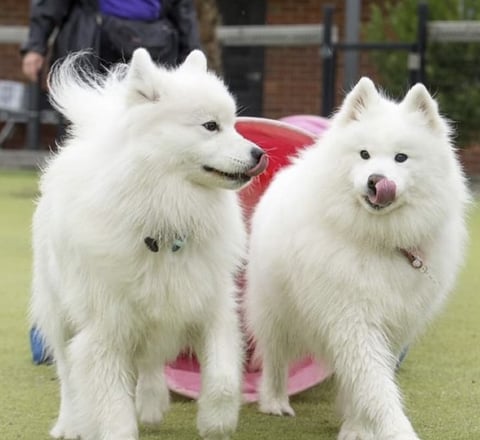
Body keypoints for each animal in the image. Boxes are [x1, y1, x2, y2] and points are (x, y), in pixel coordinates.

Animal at [31, 48, 268, 440]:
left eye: (234, 123)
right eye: (210, 126)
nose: (259, 154)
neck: (166, 211)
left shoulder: (212, 307)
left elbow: (222, 379)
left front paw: (216, 423)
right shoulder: (104, 331)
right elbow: (113, 408)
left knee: (151, 361)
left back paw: (153, 402)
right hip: (59, 314)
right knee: (67, 375)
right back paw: (69, 423)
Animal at [246, 77, 470, 438]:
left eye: (401, 158)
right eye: (364, 154)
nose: (376, 180)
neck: (378, 240)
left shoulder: (394, 325)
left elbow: (363, 382)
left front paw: (357, 426)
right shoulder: (353, 319)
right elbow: (374, 383)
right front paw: (395, 428)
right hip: (275, 311)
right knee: (275, 357)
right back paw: (274, 401)